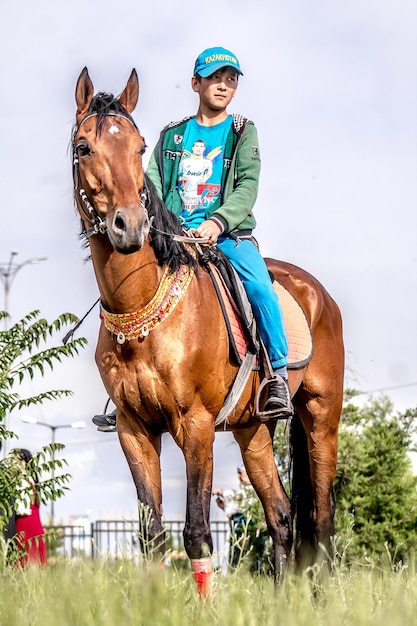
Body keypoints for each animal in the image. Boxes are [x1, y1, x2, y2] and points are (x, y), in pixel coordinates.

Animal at [72, 68, 344, 588]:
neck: (145, 309)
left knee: (320, 520)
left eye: (138, 145)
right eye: (83, 147)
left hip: (321, 417)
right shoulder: (134, 430)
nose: (129, 225)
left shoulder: (195, 425)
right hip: (252, 430)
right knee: (280, 514)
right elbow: (152, 535)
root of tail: (319, 293)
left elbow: (196, 533)